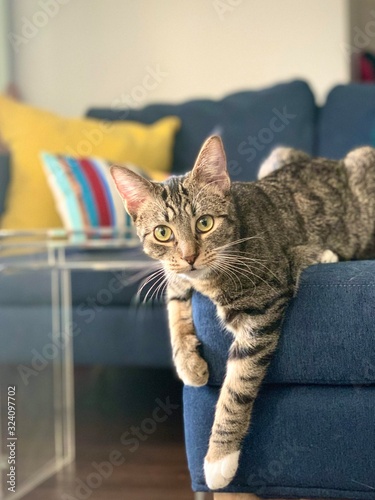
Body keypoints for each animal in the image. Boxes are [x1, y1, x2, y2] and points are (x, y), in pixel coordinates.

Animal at [110, 136, 375, 488]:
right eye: (162, 232)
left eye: (205, 223)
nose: (189, 256)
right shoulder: (176, 275)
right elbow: (175, 303)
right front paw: (188, 363)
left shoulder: (260, 313)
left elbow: (237, 385)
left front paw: (219, 459)